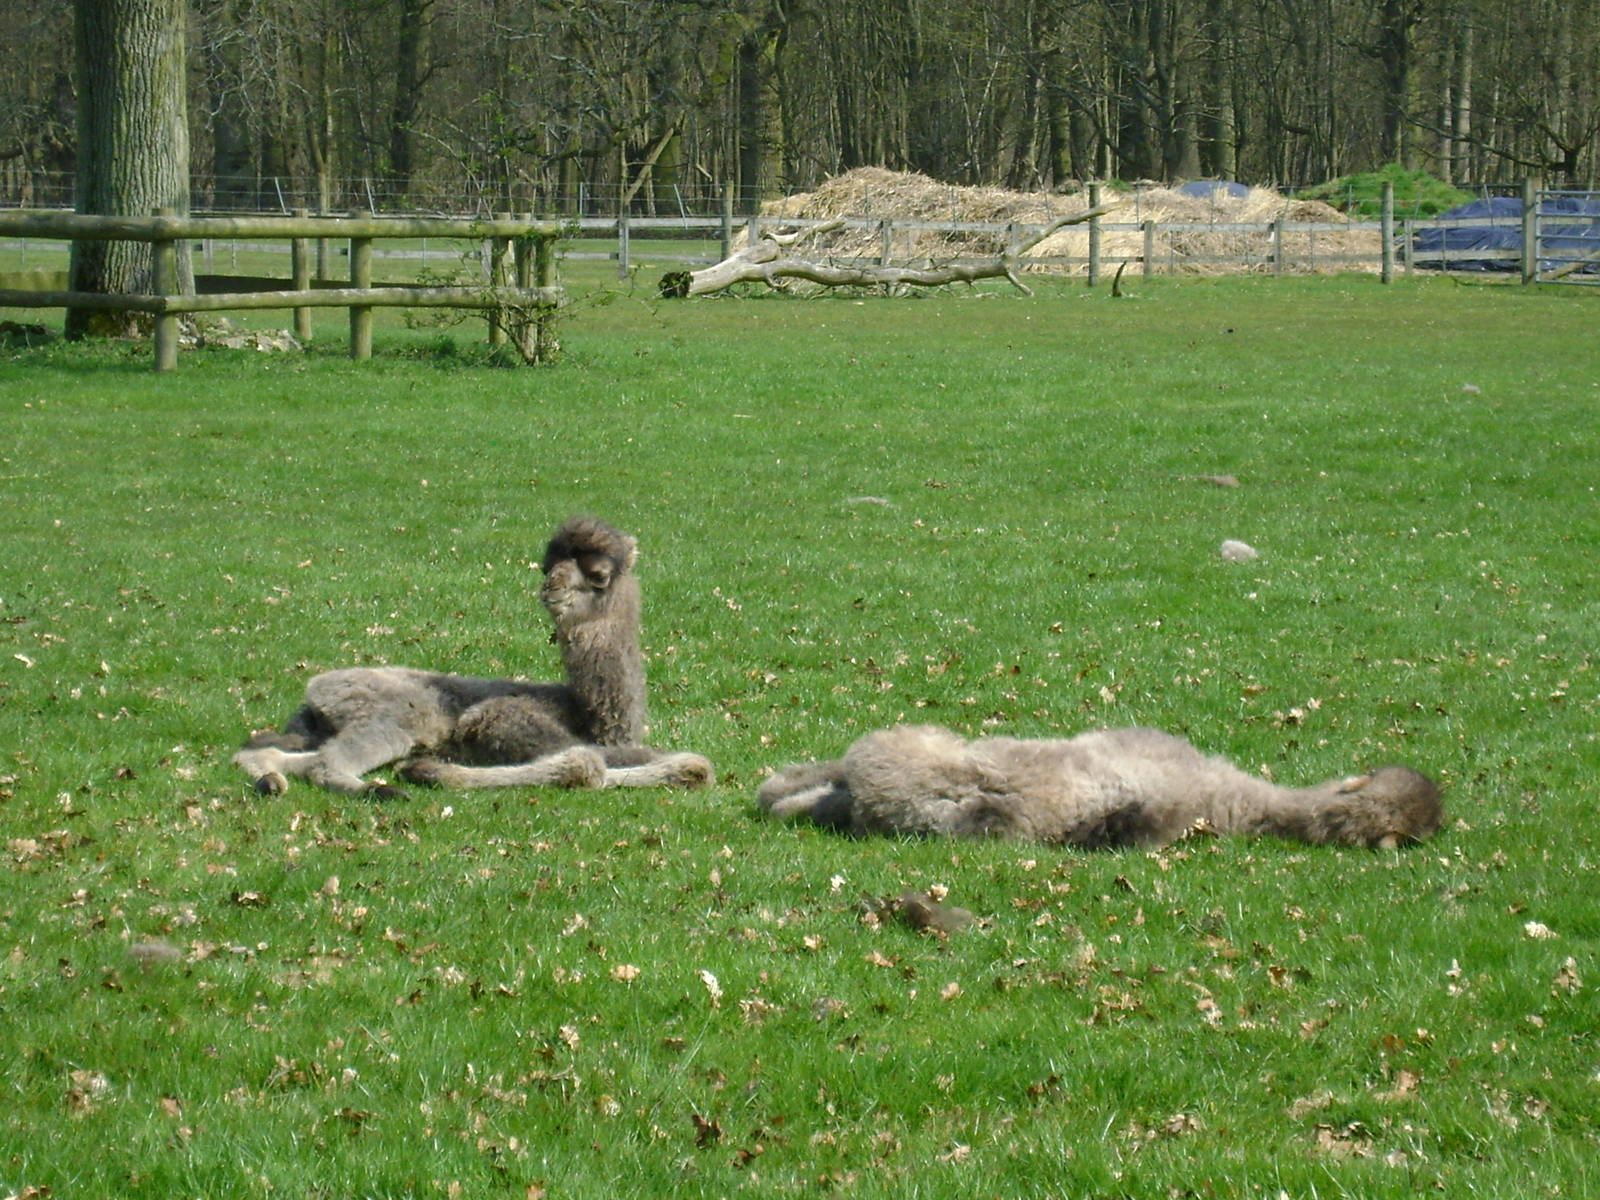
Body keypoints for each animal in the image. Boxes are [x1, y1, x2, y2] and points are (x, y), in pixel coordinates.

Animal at [234, 516, 714, 797]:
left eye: (598, 575)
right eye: (548, 566)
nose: (551, 588)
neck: (590, 718)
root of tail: (318, 688)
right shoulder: (503, 720)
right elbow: (591, 763)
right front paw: (423, 771)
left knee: (270, 754)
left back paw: (271, 781)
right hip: (392, 719)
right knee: (326, 765)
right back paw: (382, 789)